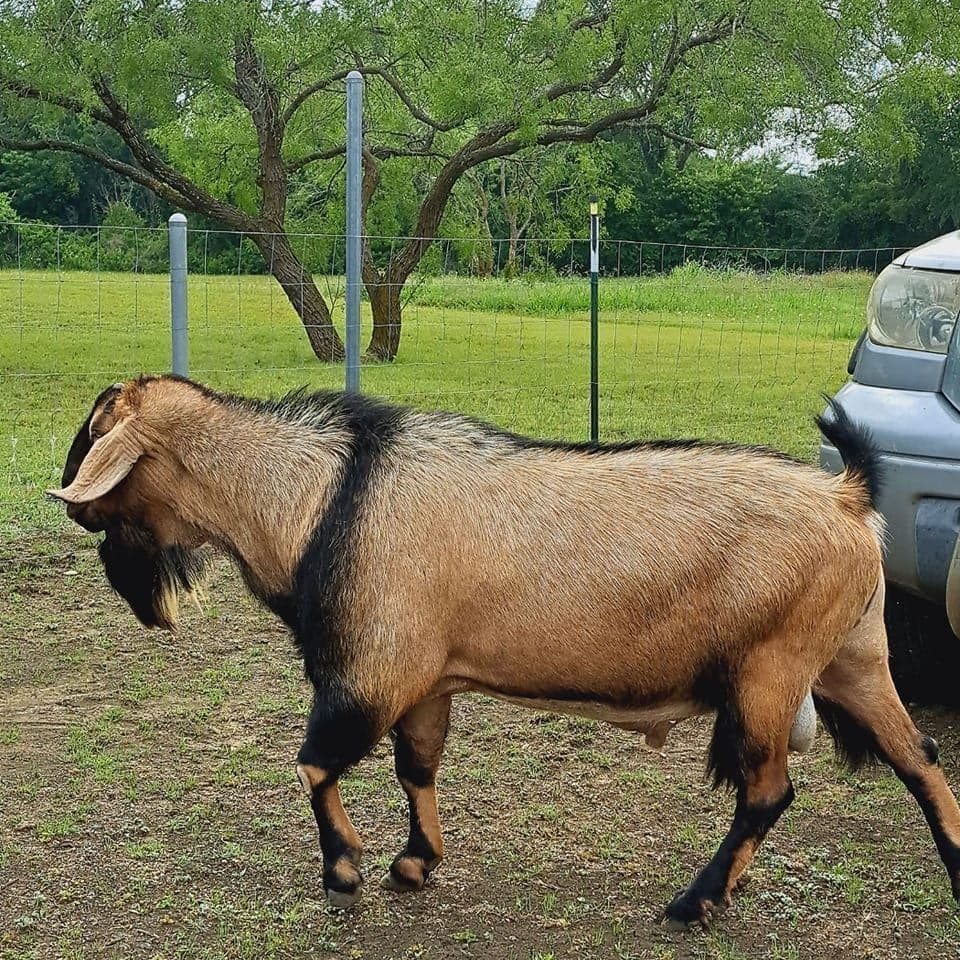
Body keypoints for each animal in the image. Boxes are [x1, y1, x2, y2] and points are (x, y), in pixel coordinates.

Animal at [50, 375, 960, 927]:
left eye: (94, 432)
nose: (72, 505)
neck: (321, 493)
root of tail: (847, 498)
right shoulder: (427, 681)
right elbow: (416, 766)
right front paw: (414, 863)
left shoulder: (369, 672)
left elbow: (314, 763)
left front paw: (344, 872)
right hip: (849, 656)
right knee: (918, 755)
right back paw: (950, 869)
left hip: (769, 669)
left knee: (768, 792)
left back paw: (694, 901)